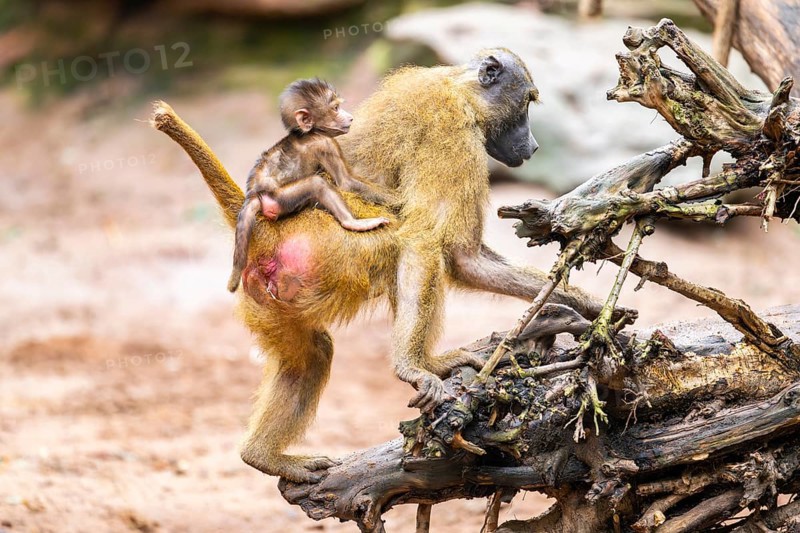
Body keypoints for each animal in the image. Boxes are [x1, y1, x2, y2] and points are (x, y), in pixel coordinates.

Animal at [227, 78, 390, 293]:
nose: (350, 118)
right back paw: (352, 222)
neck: (307, 133)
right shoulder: (325, 143)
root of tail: (255, 194)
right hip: (281, 198)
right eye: (335, 108)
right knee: (316, 184)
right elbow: (345, 182)